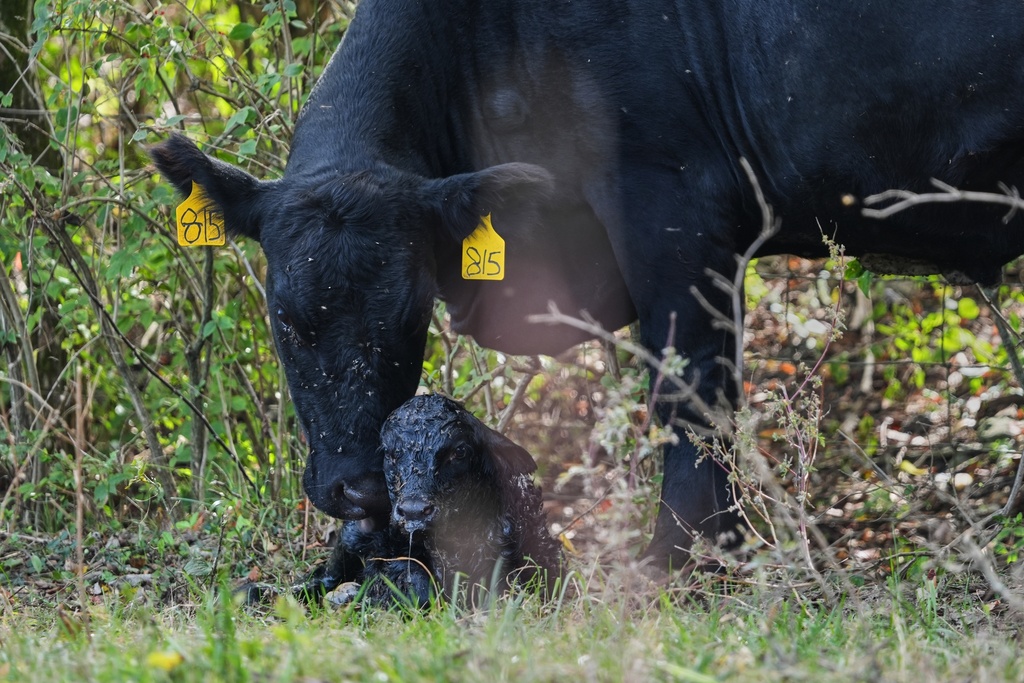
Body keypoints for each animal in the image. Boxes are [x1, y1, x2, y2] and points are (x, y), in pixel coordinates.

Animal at [150, 0, 1024, 572]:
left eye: (408, 313)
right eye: (286, 316)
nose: (359, 487)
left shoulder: (673, 202)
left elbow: (690, 398)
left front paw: (681, 562)